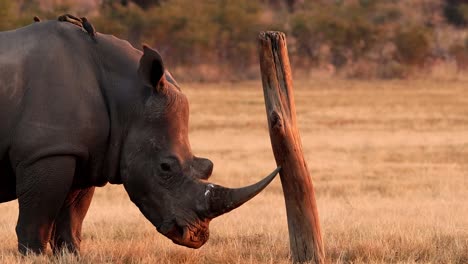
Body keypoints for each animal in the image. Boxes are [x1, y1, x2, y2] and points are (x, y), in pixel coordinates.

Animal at [0, 20, 278, 254]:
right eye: (165, 167)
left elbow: (72, 220)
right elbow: (36, 224)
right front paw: (33, 255)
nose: (195, 237)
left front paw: (71, 254)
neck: (127, 99)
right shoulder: (46, 151)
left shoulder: (83, 153)